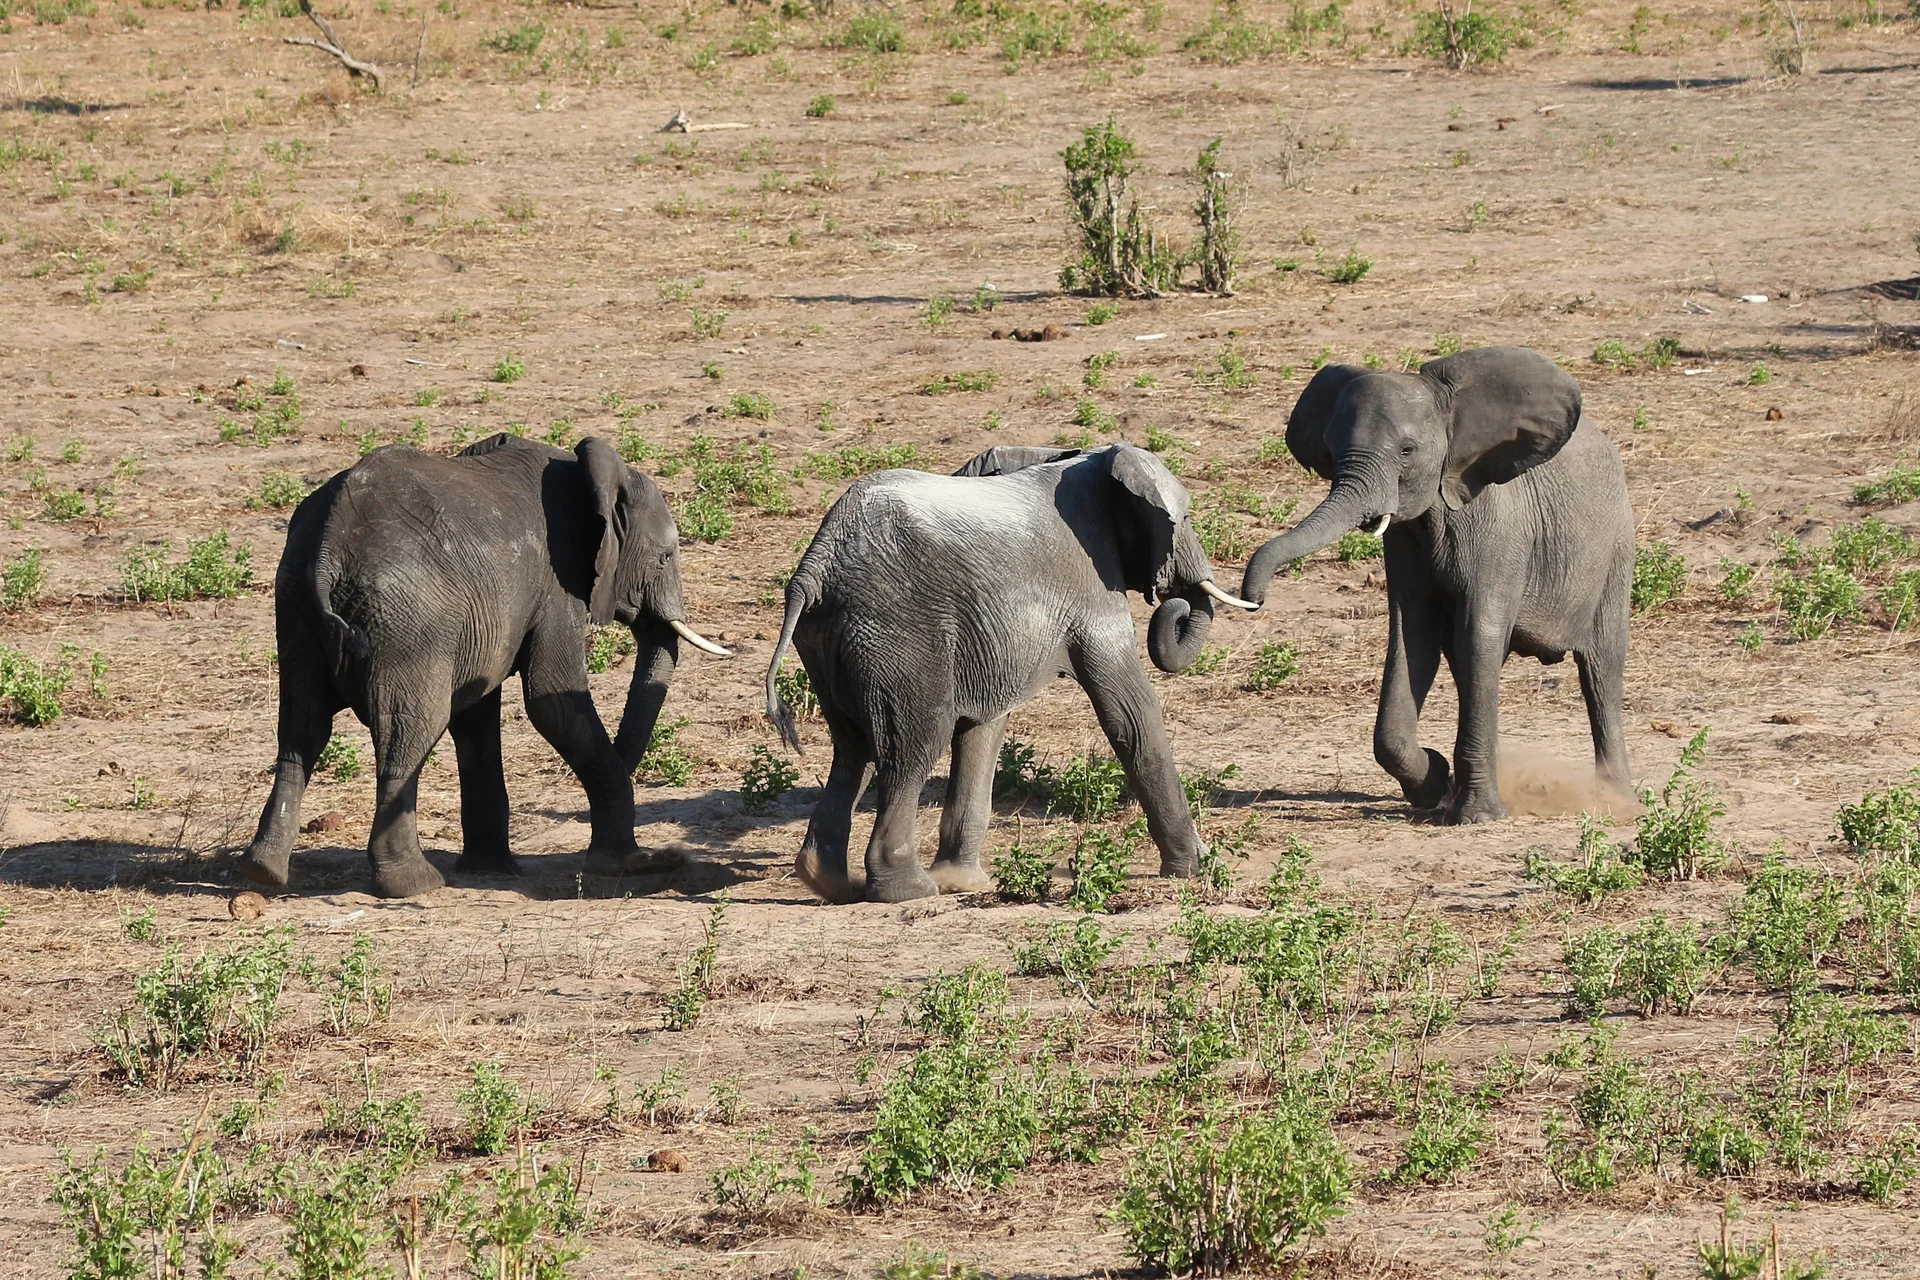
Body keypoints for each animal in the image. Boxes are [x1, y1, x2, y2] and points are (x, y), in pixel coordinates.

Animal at [238, 433, 730, 899]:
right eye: (665, 557)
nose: (669, 855)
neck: (591, 476)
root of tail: (328, 549)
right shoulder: (558, 583)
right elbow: (553, 704)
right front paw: (625, 864)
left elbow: (476, 719)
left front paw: (491, 869)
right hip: (409, 619)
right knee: (409, 732)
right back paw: (414, 884)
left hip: (295, 604)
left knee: (301, 729)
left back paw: (263, 871)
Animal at [763, 442, 1257, 904]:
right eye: (1185, 518)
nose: (1176, 602)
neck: (1087, 459)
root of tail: (815, 567)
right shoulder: (1090, 584)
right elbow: (1130, 714)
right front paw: (1196, 868)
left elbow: (984, 727)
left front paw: (964, 882)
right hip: (897, 634)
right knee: (912, 746)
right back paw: (909, 891)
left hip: (831, 639)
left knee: (854, 750)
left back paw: (825, 881)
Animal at [1239, 346, 1632, 825]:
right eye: (1331, 450)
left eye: (1407, 450)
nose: (1254, 599)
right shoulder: (1404, 541)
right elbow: (1413, 635)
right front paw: (1434, 784)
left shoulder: (1502, 529)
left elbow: (1478, 634)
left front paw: (1477, 817)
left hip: (1616, 548)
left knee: (1601, 669)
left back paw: (1615, 800)